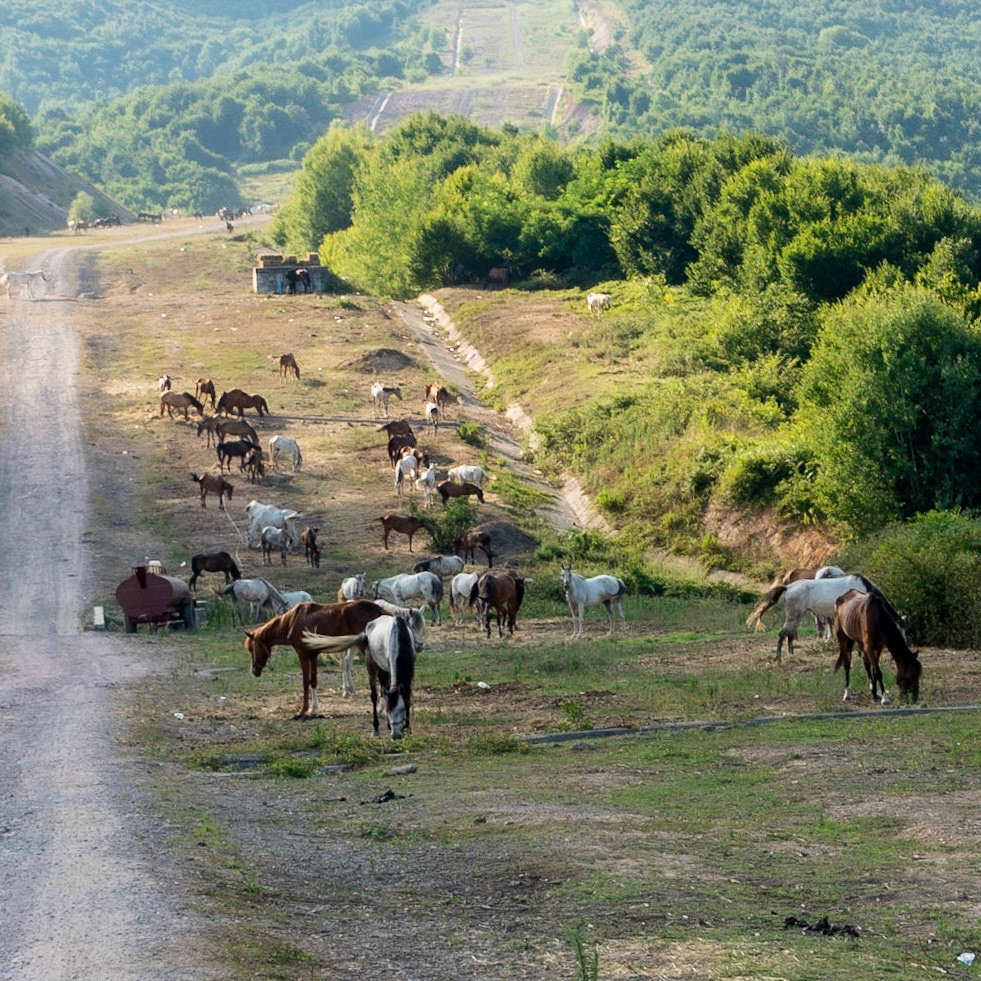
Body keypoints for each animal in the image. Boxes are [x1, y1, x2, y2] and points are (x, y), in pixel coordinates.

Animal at [244, 600, 424, 716]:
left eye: (251, 648)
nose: (254, 671)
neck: (292, 621)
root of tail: (381, 612)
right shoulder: (313, 655)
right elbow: (313, 681)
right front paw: (314, 709)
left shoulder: (303, 655)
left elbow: (305, 682)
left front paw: (303, 710)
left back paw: (381, 709)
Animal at [746, 574, 905, 662]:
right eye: (899, 630)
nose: (902, 647)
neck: (864, 590)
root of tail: (788, 587)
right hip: (794, 614)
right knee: (783, 634)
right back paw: (779, 658)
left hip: (797, 615)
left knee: (789, 634)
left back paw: (791, 655)